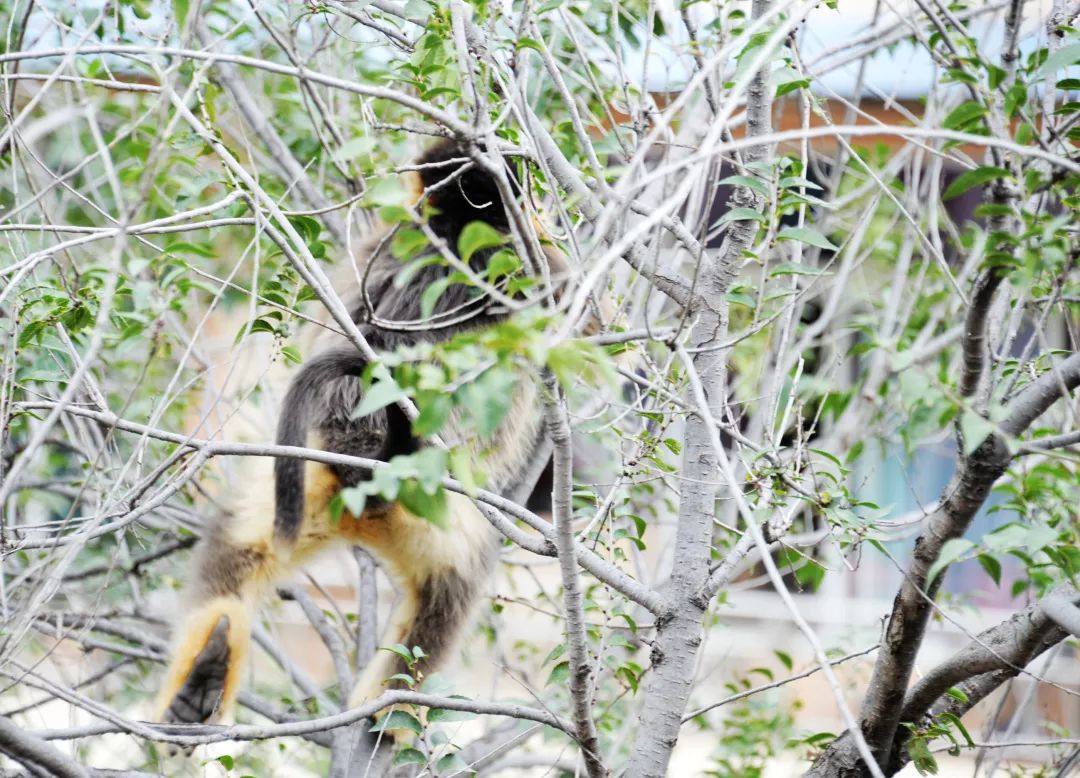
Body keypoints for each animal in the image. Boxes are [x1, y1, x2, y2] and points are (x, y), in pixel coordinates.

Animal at [156, 139, 570, 730]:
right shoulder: (530, 265)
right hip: (440, 524)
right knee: (446, 605)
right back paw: (390, 719)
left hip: (305, 484)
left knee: (234, 555)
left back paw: (202, 678)